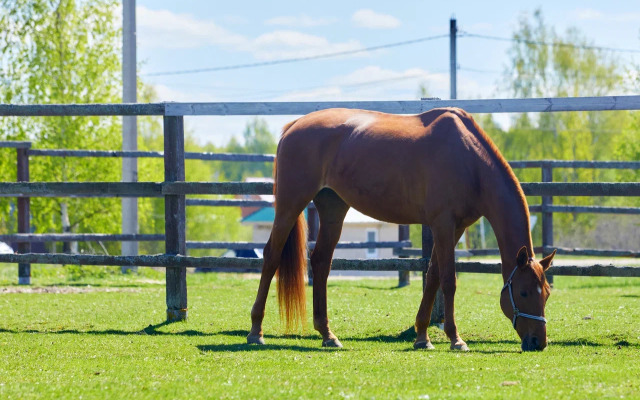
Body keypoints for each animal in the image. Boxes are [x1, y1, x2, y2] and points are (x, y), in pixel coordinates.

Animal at [248, 108, 556, 352]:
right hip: (290, 204)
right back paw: (255, 331)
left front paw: (422, 337)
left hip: (333, 208)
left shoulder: (454, 228)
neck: (469, 160)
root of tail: (294, 125)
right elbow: (449, 280)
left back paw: (327, 334)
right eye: (524, 292)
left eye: (547, 293)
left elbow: (432, 275)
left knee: (321, 262)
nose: (538, 342)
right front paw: (455, 339)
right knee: (272, 256)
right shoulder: (443, 224)